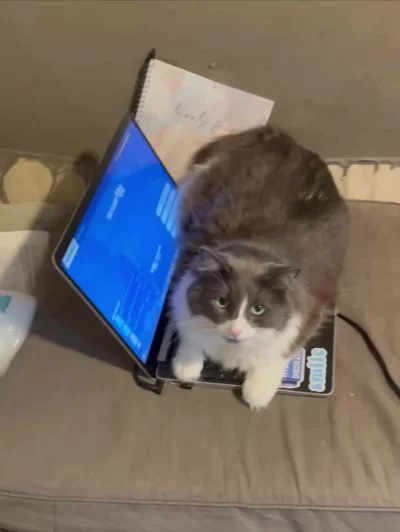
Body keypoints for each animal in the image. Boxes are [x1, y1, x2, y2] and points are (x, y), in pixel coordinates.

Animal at [170, 125, 349, 410]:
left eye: (258, 309)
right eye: (222, 302)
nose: (235, 330)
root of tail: (283, 138)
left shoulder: (312, 310)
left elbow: (282, 350)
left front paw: (257, 393)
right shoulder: (182, 269)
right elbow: (187, 328)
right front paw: (186, 366)